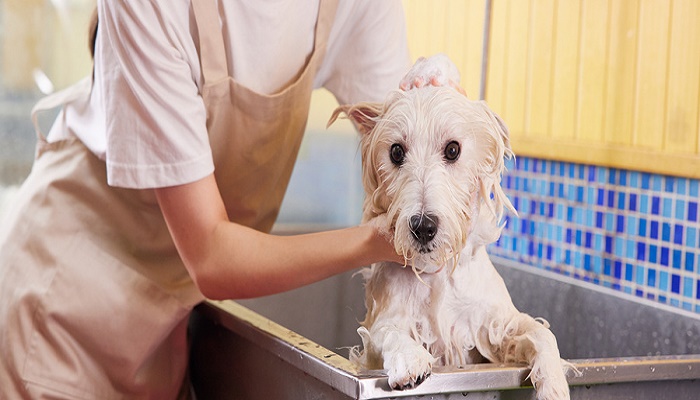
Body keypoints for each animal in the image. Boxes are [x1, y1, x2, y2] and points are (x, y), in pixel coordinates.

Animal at [328, 57, 576, 398]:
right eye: (395, 152)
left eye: (453, 149)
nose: (423, 227)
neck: (438, 273)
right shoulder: (380, 328)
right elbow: (388, 332)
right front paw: (410, 359)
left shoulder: (497, 324)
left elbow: (541, 333)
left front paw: (553, 385)